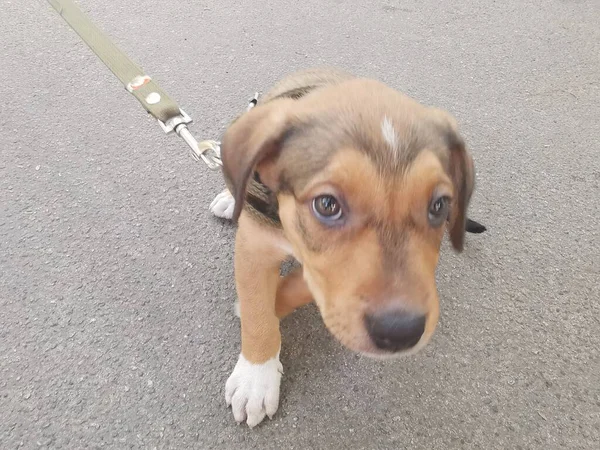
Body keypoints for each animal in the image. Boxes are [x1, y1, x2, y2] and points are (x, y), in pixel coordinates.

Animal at [210, 68, 482, 428]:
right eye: (327, 204)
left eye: (439, 205)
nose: (400, 332)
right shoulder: (255, 243)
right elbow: (257, 313)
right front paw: (256, 377)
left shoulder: (319, 273)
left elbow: (303, 284)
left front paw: (276, 303)